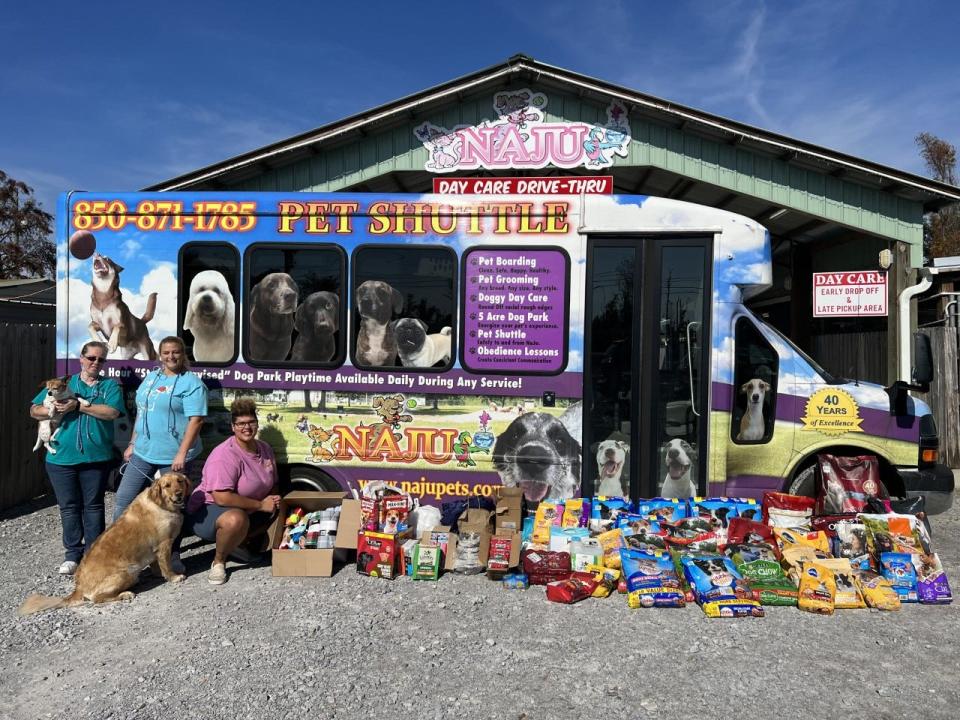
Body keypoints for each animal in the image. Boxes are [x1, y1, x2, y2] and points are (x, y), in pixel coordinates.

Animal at [18, 472, 189, 612]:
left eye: (179, 481)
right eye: (167, 486)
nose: (179, 494)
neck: (160, 504)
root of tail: (79, 588)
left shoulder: (155, 549)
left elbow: (157, 565)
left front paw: (160, 574)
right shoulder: (164, 544)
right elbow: (166, 565)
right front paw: (173, 577)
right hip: (126, 573)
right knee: (97, 599)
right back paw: (124, 594)